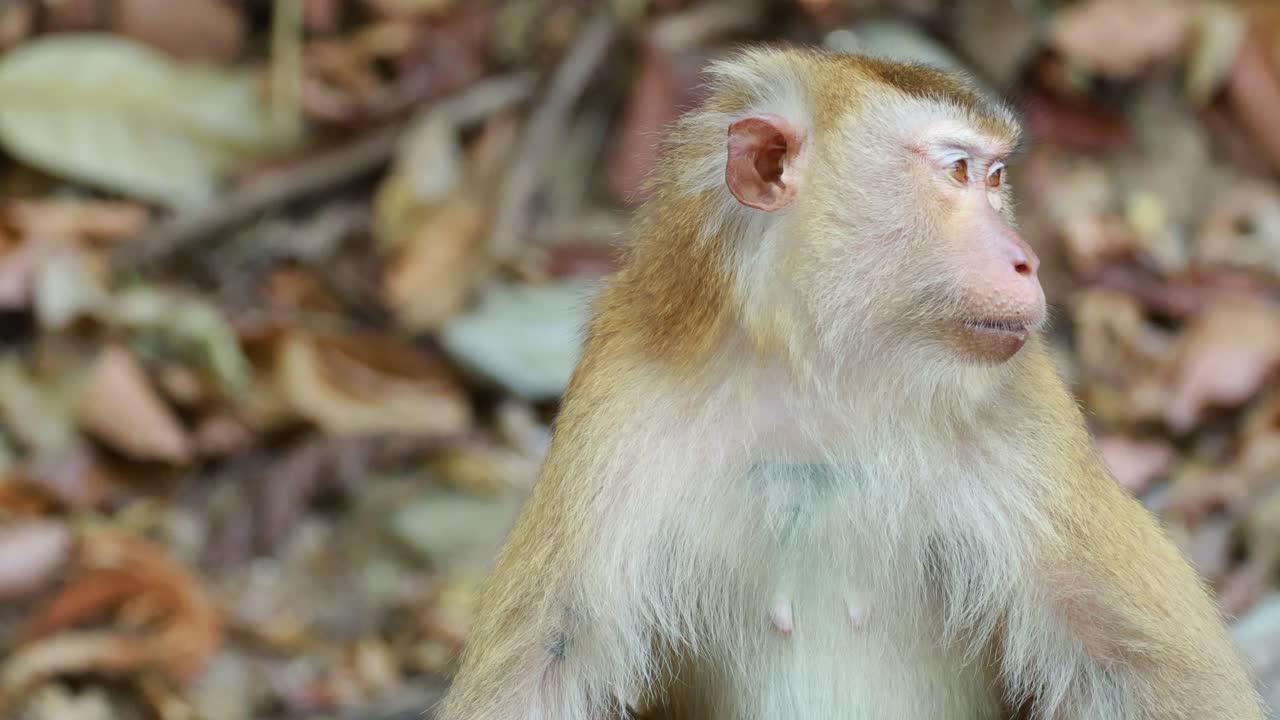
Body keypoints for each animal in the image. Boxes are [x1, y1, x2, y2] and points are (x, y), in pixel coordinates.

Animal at [436, 48, 1265, 720]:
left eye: (997, 177)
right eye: (958, 171)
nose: (1026, 258)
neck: (821, 383)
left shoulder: (1028, 420)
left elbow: (1154, 673)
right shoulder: (619, 404)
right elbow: (549, 661)